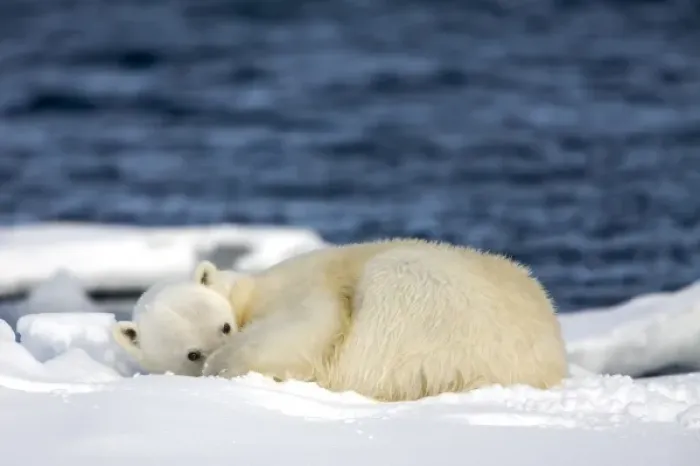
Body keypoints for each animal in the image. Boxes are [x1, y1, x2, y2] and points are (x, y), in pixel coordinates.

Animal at [199, 238, 569, 402]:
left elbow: (304, 330)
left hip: (415, 297)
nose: (197, 353)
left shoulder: (307, 288)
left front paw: (220, 364)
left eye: (222, 326)